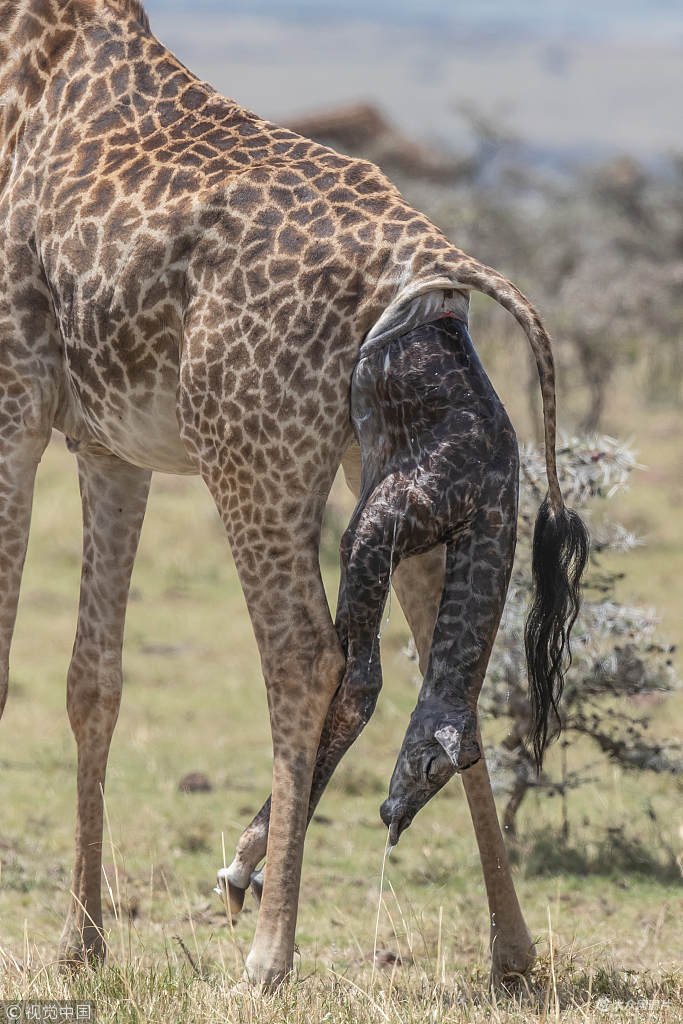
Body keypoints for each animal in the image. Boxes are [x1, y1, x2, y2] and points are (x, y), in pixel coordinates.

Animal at [0, 0, 589, 983]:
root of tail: (429, 260)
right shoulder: (107, 445)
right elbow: (93, 681)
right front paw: (80, 944)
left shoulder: (15, 403)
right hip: (389, 479)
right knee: (446, 674)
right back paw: (510, 952)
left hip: (255, 461)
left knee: (307, 658)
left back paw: (268, 950)